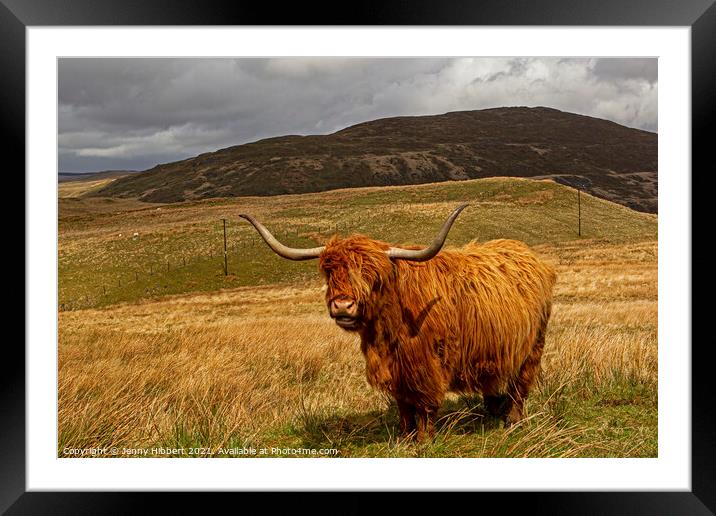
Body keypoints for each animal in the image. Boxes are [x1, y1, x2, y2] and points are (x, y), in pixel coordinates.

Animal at [243, 205, 556, 440]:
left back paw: (512, 421)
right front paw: (404, 438)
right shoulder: (394, 371)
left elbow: (425, 406)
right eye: (330, 272)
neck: (387, 332)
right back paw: (492, 409)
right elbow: (403, 407)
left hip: (533, 347)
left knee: (520, 386)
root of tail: (530, 255)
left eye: (371, 276)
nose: (342, 305)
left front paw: (424, 441)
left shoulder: (427, 366)